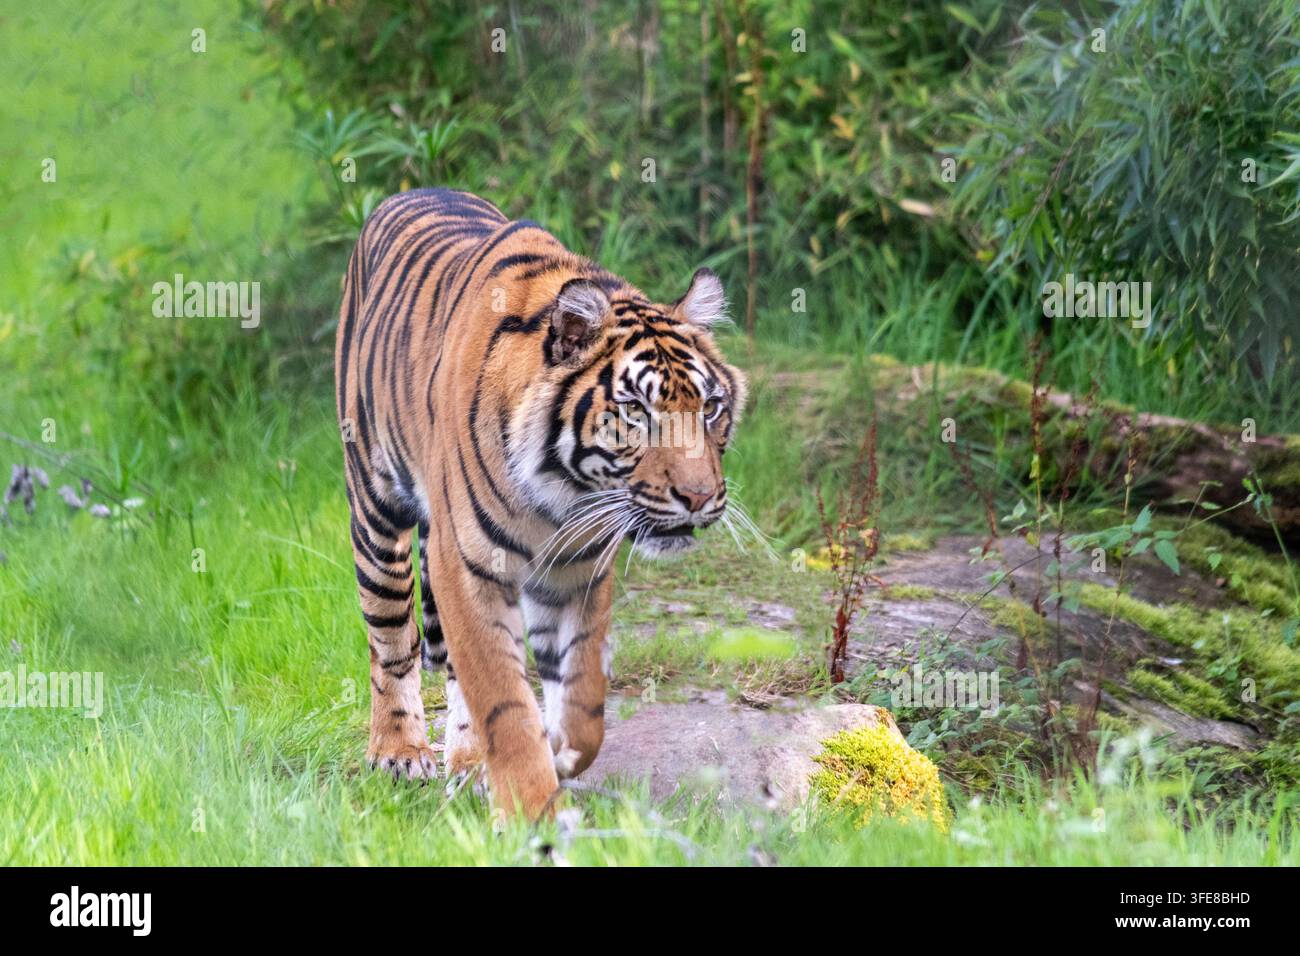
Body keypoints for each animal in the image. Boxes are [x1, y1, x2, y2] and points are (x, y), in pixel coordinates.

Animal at [335, 187, 747, 819]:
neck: (564, 493)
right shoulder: (467, 567)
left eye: (710, 408)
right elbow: (503, 700)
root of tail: (410, 192)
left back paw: (468, 766)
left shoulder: (578, 571)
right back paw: (400, 752)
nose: (699, 496)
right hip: (378, 517)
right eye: (636, 412)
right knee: (392, 642)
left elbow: (583, 702)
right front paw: (532, 809)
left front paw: (556, 756)